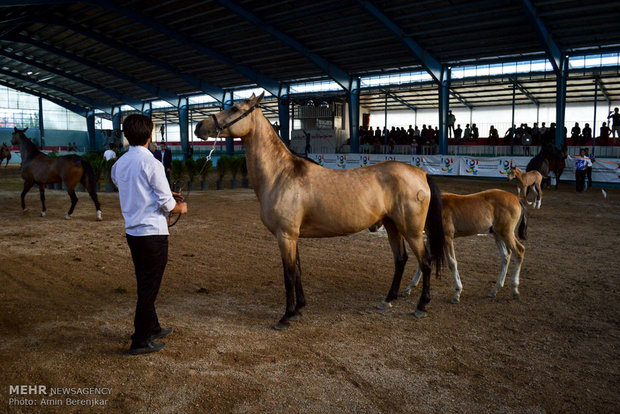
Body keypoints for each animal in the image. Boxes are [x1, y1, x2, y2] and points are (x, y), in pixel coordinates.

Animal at [194, 94, 446, 330]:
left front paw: (286, 316)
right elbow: (297, 271)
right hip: (392, 225)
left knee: (425, 261)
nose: (199, 127)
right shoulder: (293, 236)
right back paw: (388, 299)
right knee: (400, 259)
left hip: (411, 230)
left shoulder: (285, 236)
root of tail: (421, 173)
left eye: (235, 109)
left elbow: (288, 274)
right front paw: (299, 309)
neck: (280, 174)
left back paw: (421, 305)